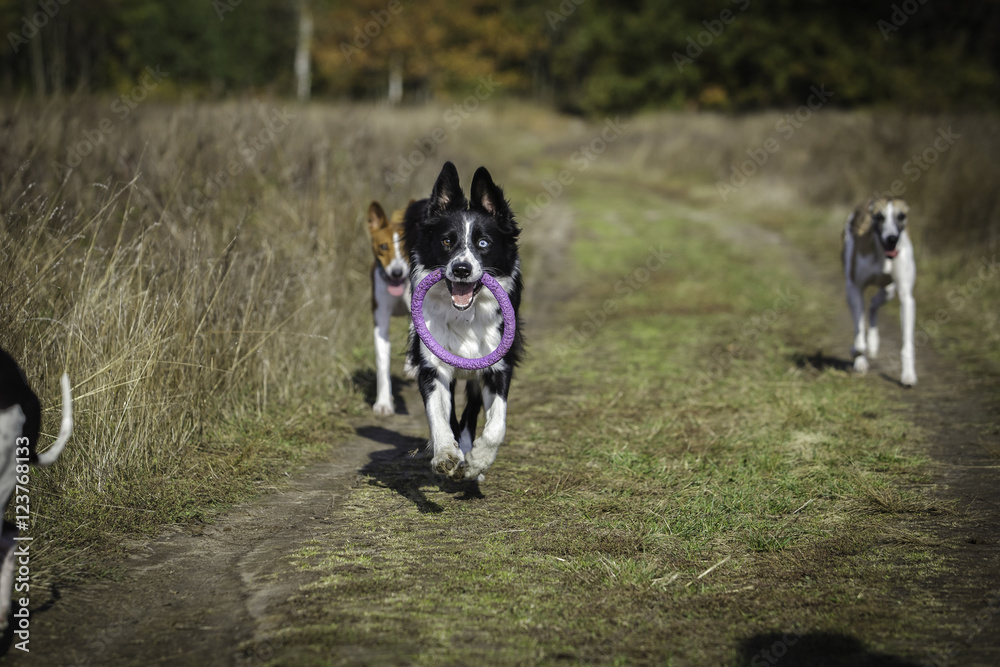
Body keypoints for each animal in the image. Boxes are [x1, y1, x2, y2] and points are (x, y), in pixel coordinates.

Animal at [404, 164, 524, 482]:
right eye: (447, 241)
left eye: (483, 243)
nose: (461, 269)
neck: (464, 316)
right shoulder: (433, 366)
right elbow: (439, 415)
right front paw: (446, 454)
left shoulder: (498, 366)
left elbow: (497, 425)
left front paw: (478, 461)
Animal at [840, 197, 916, 386]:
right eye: (879, 217)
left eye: (901, 216)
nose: (892, 239)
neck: (882, 255)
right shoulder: (855, 289)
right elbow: (859, 339)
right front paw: (857, 352)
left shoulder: (906, 298)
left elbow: (907, 343)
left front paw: (908, 375)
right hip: (850, 286)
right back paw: (861, 359)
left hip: (889, 290)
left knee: (874, 303)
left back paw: (873, 343)